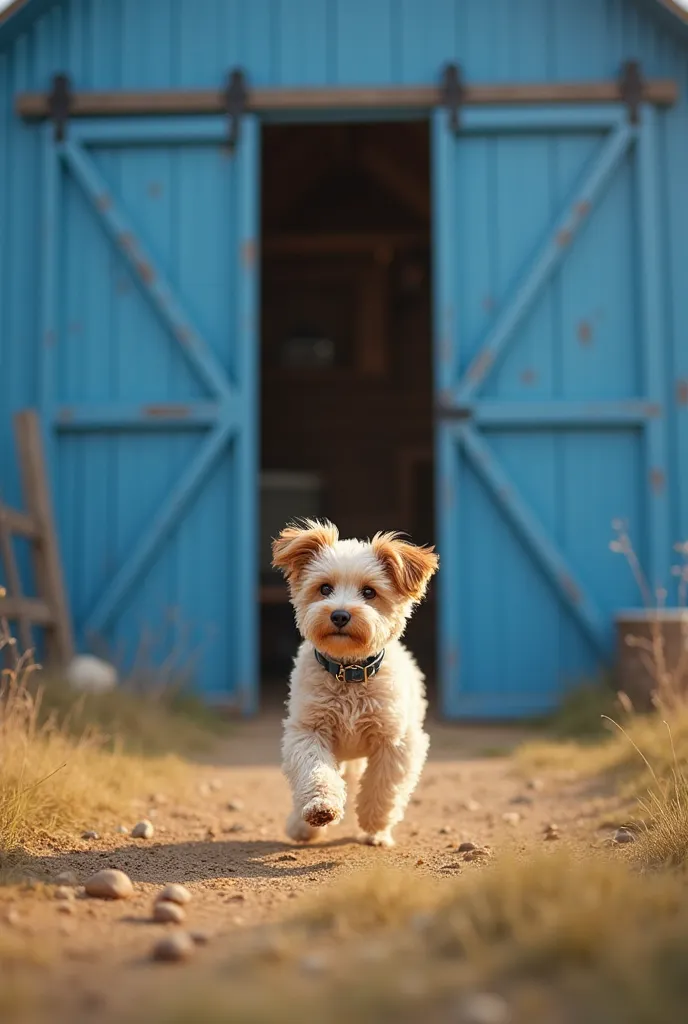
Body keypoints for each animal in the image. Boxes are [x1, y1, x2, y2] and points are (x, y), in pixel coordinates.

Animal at [272, 520, 438, 847]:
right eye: (324, 588)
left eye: (369, 592)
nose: (339, 615)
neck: (348, 671)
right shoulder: (308, 732)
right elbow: (315, 771)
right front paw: (320, 809)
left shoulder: (396, 741)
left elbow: (382, 787)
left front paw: (375, 824)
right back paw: (302, 826)